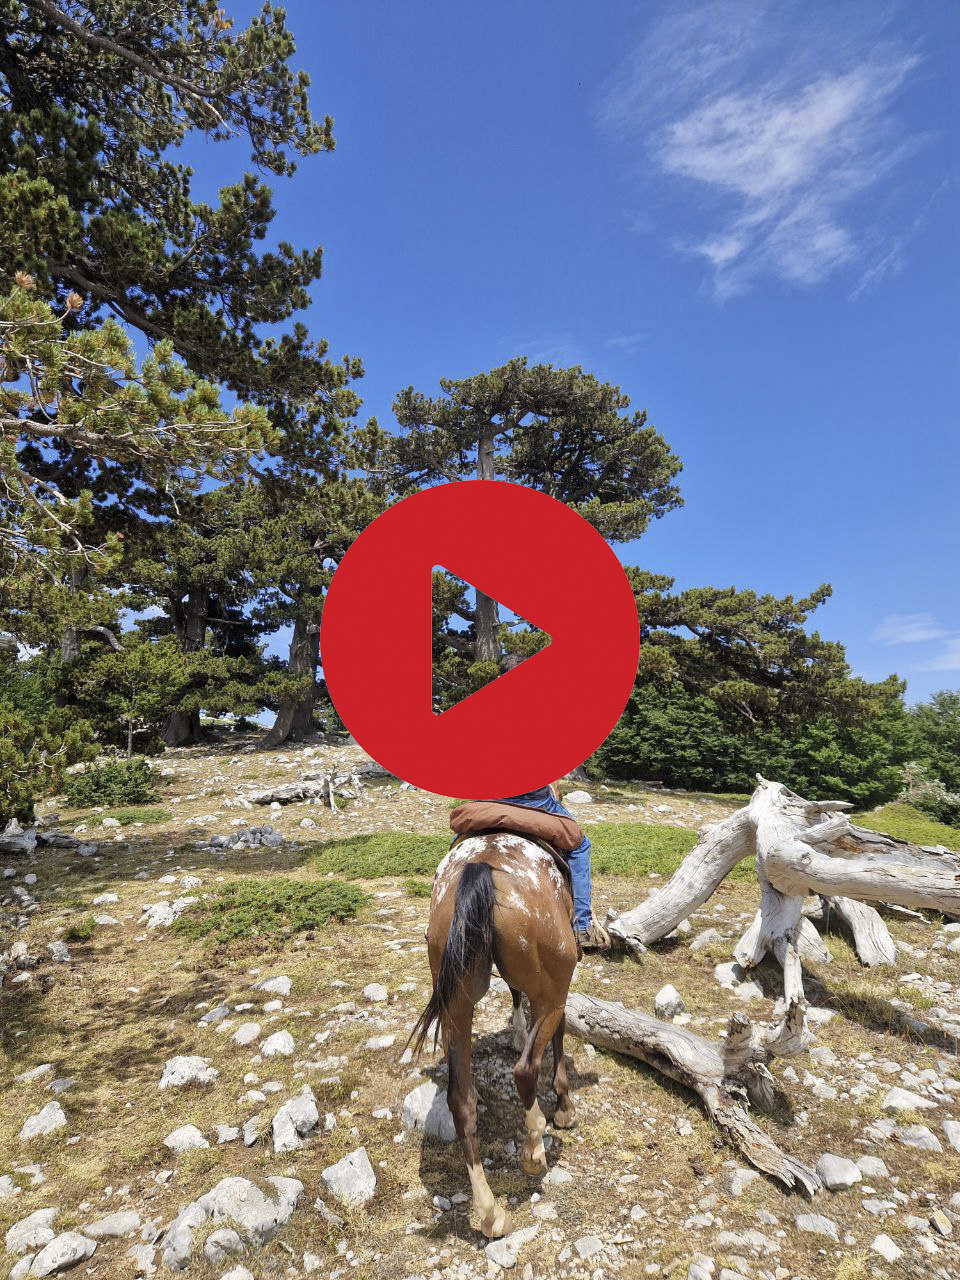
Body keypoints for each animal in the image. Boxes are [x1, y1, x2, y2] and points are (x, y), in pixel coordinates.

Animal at [409, 830, 578, 1239]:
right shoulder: (557, 994)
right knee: (525, 1071)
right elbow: (559, 1039)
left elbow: (515, 992)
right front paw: (564, 1108)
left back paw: (490, 1213)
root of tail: (480, 867)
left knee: (461, 1102)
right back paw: (534, 1150)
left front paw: (517, 1032)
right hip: (552, 990)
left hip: (456, 1002)